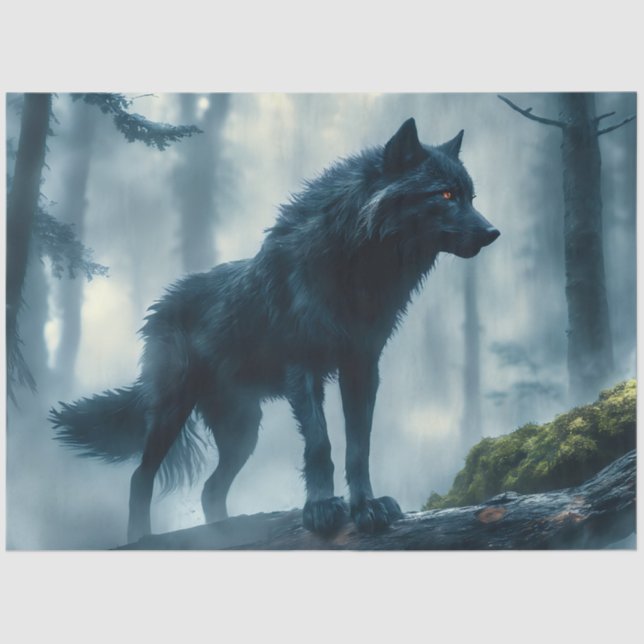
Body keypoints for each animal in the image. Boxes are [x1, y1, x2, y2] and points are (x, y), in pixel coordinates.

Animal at [51, 118, 499, 543]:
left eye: (470, 196)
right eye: (445, 195)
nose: (494, 232)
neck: (358, 265)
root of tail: (160, 305)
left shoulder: (361, 367)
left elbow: (359, 447)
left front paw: (366, 507)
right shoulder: (303, 367)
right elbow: (320, 444)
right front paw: (321, 510)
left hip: (242, 430)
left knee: (210, 490)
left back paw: (223, 535)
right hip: (172, 410)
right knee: (140, 477)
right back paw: (141, 539)